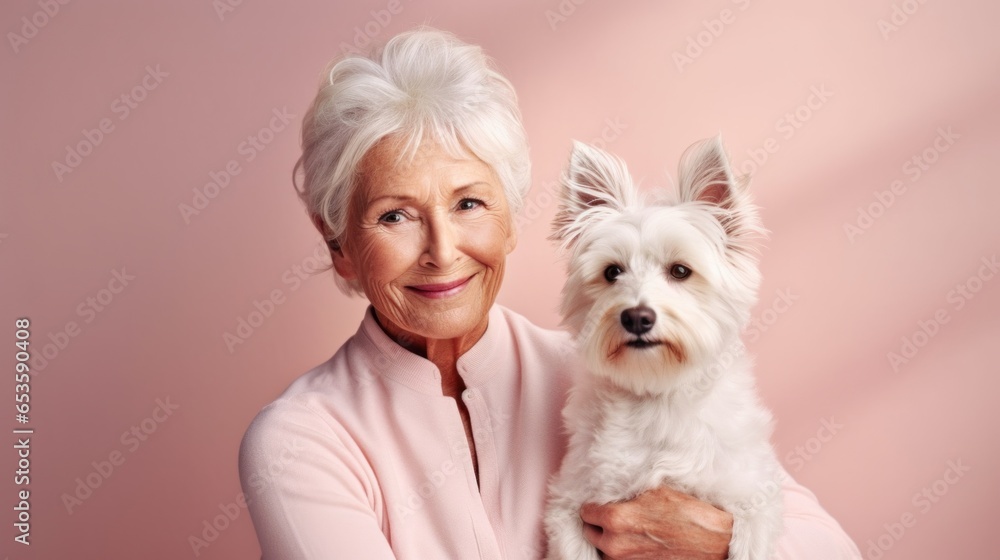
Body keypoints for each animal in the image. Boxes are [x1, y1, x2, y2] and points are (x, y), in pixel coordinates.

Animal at [544, 137, 784, 560]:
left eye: (680, 271)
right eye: (612, 272)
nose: (637, 317)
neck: (658, 398)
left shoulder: (755, 496)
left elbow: (751, 540)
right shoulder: (571, 502)